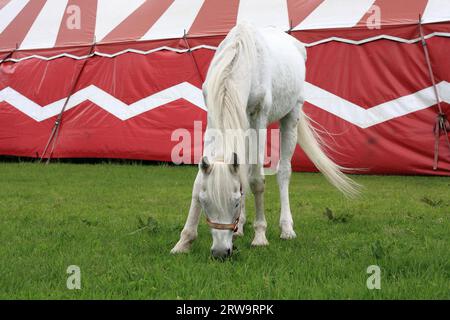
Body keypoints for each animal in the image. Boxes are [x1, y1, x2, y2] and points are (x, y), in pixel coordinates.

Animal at [172, 22, 358, 258]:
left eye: (235, 203)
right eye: (205, 203)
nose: (221, 252)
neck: (239, 60)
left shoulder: (258, 117)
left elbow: (256, 181)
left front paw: (260, 235)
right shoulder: (213, 117)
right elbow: (200, 182)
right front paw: (184, 241)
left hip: (291, 116)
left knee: (284, 172)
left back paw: (286, 229)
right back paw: (240, 228)